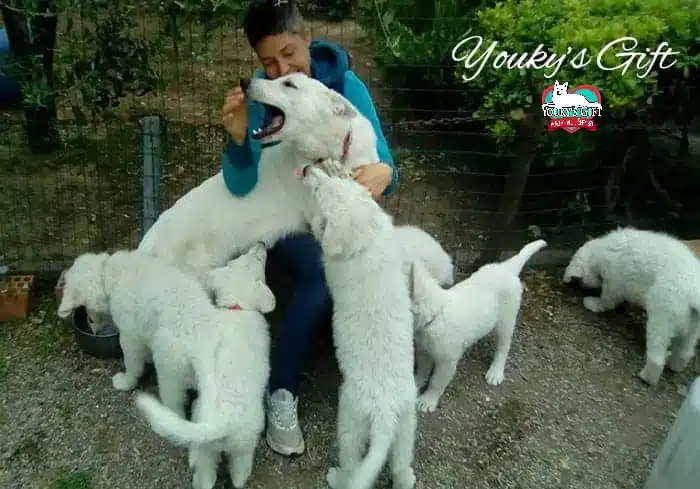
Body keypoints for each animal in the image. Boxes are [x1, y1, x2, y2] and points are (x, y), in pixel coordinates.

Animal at [410, 238, 548, 410]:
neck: (435, 316)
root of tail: (506, 268)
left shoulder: (447, 362)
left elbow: (436, 382)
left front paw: (428, 400)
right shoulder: (424, 351)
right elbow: (422, 371)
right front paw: (416, 384)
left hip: (506, 320)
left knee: (504, 346)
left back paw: (496, 371)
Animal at [560, 226, 700, 386]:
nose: (582, 286)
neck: (602, 249)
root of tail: (693, 293)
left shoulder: (615, 279)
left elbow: (608, 298)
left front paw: (594, 303)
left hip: (664, 315)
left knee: (657, 356)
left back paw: (647, 376)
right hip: (693, 325)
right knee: (685, 351)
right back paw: (674, 365)